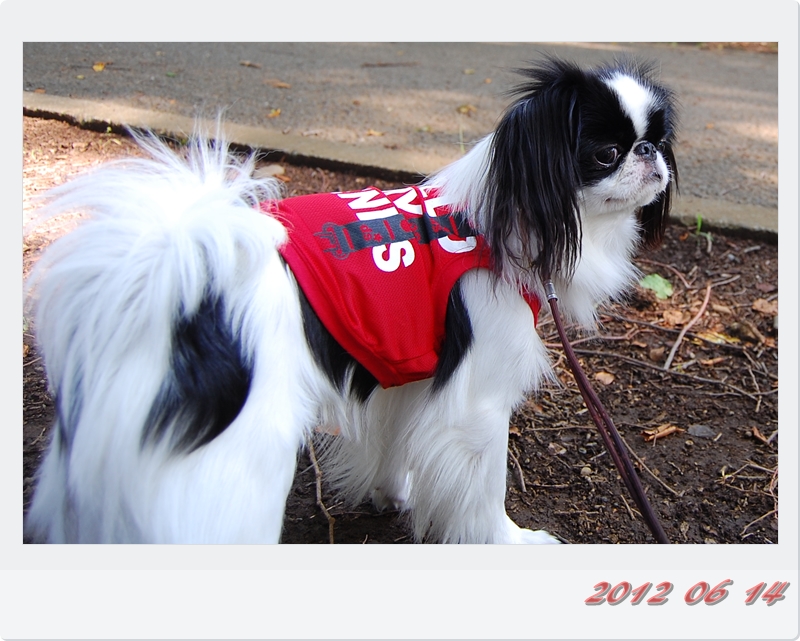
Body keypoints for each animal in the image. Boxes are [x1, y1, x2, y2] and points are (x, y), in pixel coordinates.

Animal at [23, 57, 676, 544]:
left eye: (658, 140)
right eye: (605, 153)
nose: (649, 154)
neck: (498, 225)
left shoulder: (409, 372)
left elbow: (395, 442)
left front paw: (393, 495)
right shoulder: (479, 405)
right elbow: (482, 490)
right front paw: (510, 542)